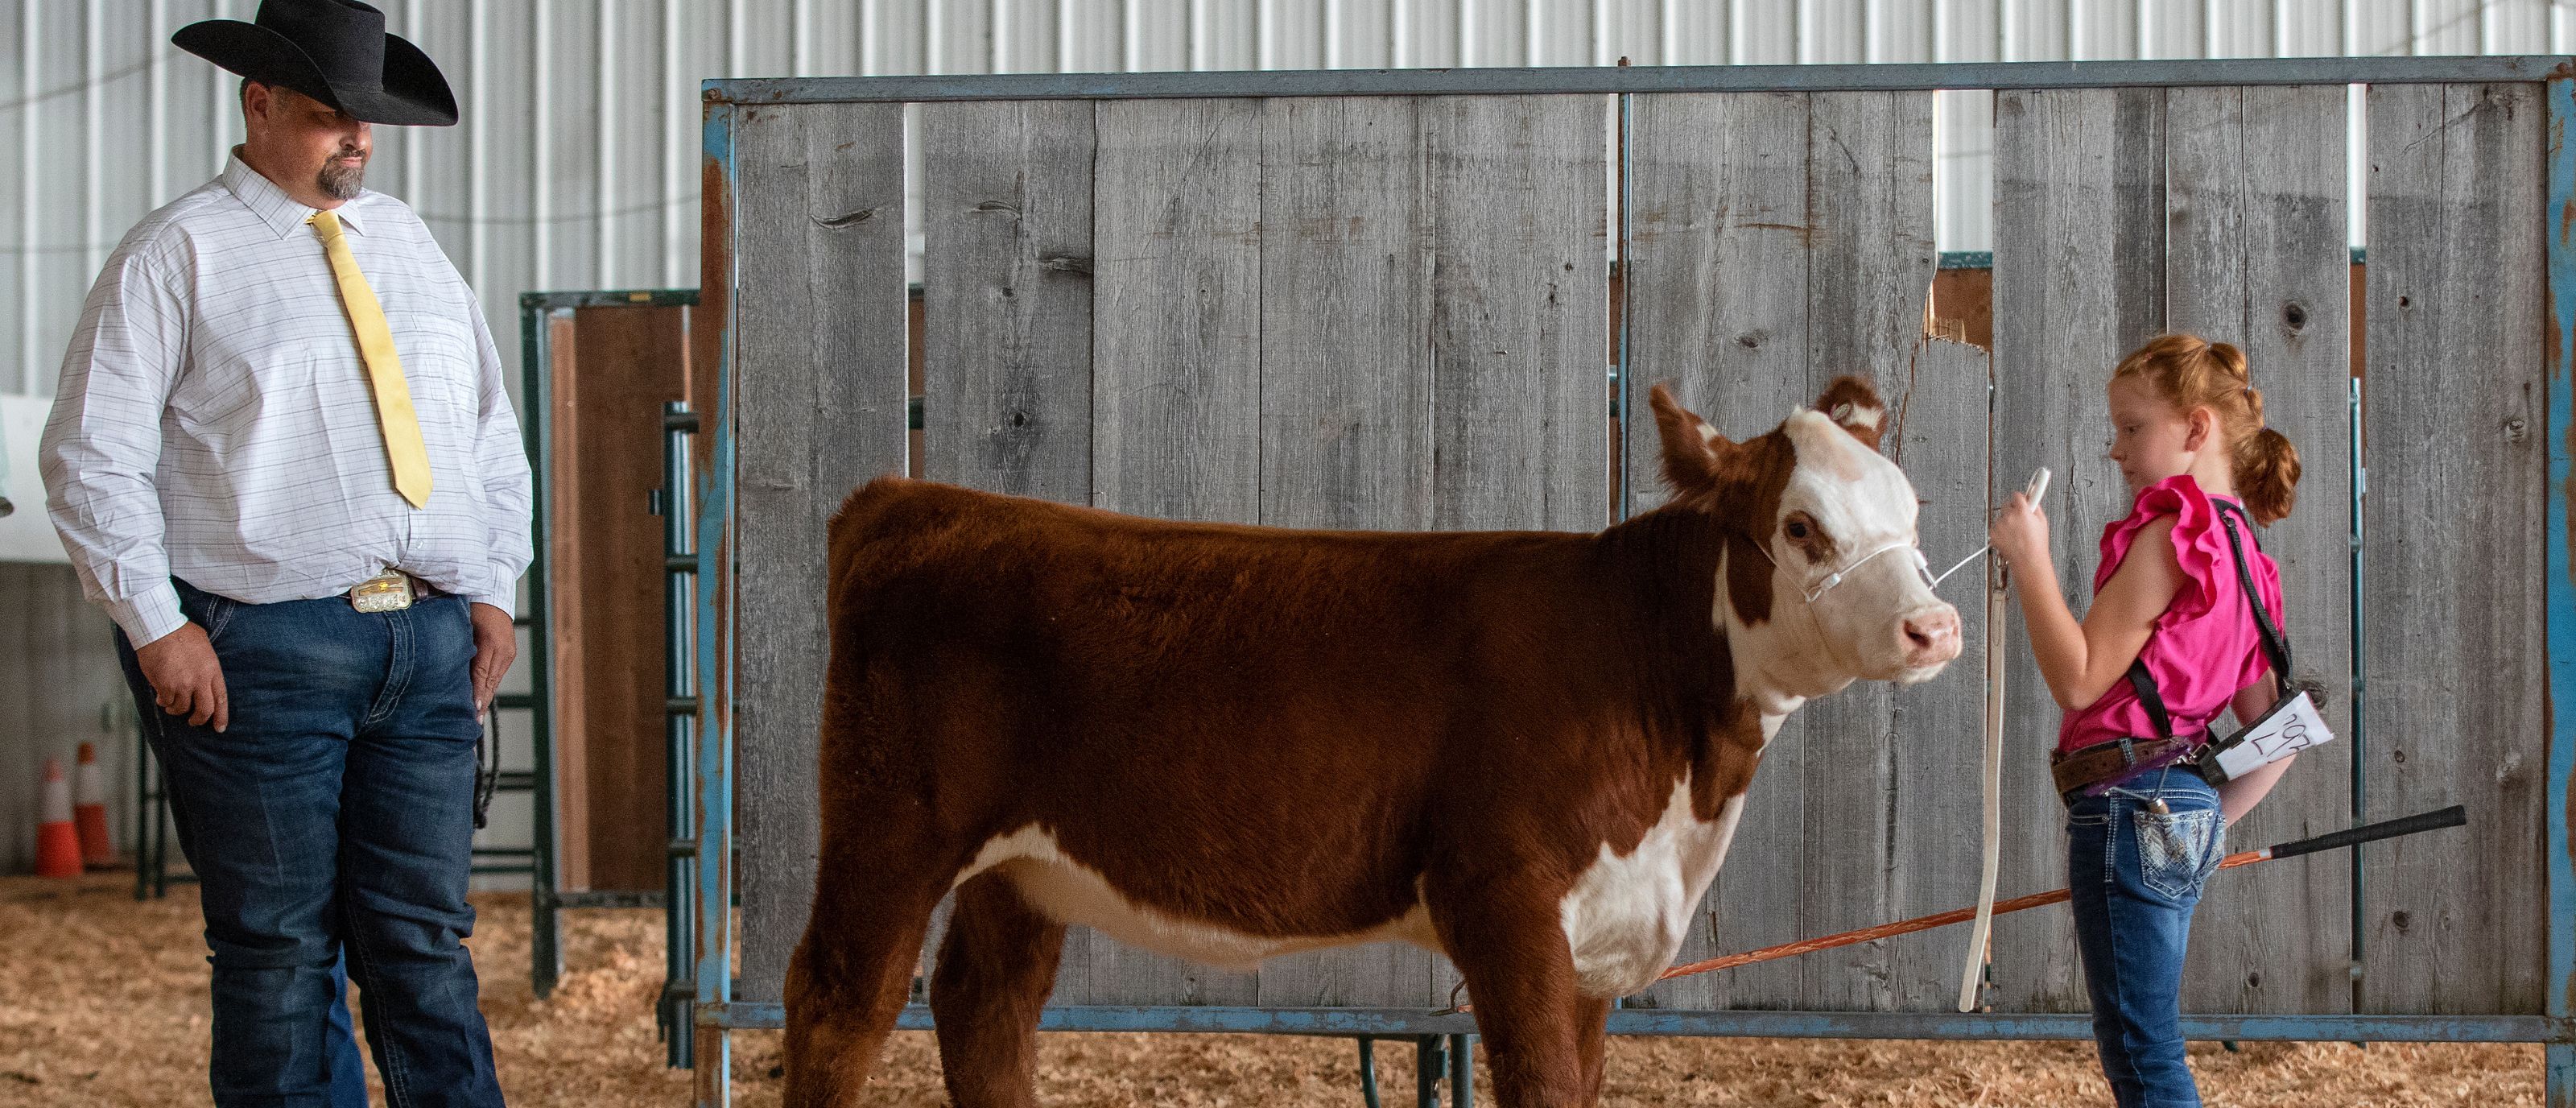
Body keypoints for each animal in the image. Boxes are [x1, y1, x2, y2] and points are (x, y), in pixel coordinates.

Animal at [785, 377, 1963, 1108]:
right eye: (1801, 528)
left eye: (1911, 508)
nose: (1935, 626)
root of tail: (910, 499)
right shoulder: (1502, 895)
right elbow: (1540, 1082)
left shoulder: (1602, 937)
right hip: (890, 830)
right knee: (841, 1002)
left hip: (1022, 865)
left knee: (986, 1009)